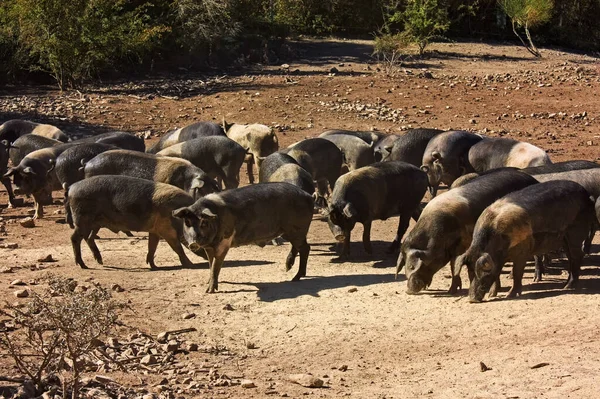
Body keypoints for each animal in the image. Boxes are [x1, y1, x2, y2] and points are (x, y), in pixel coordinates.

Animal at [67, 177, 200, 270]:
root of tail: (71, 188)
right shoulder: (166, 229)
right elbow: (177, 247)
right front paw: (191, 265)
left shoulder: (155, 231)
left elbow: (152, 246)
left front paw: (154, 266)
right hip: (82, 220)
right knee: (75, 238)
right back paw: (83, 266)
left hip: (95, 224)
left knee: (89, 238)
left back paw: (100, 261)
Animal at [172, 184, 314, 294]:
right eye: (187, 222)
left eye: (204, 222)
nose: (193, 243)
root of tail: (308, 195)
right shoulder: (209, 247)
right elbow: (211, 264)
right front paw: (208, 282)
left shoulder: (224, 242)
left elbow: (216, 265)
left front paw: (209, 291)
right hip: (290, 232)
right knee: (299, 247)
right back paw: (287, 269)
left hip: (297, 228)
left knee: (306, 248)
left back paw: (295, 278)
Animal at [396, 169, 536, 294]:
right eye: (406, 265)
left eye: (412, 266)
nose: (409, 291)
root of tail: (531, 178)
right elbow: (455, 266)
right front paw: (452, 290)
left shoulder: (463, 244)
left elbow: (455, 265)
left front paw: (453, 292)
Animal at [458, 181, 592, 304]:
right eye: (470, 273)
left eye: (483, 272)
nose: (472, 299)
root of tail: (585, 193)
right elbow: (497, 274)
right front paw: (492, 295)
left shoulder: (521, 251)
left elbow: (517, 272)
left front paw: (510, 295)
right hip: (564, 240)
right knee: (571, 257)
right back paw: (566, 284)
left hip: (575, 233)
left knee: (577, 255)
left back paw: (568, 286)